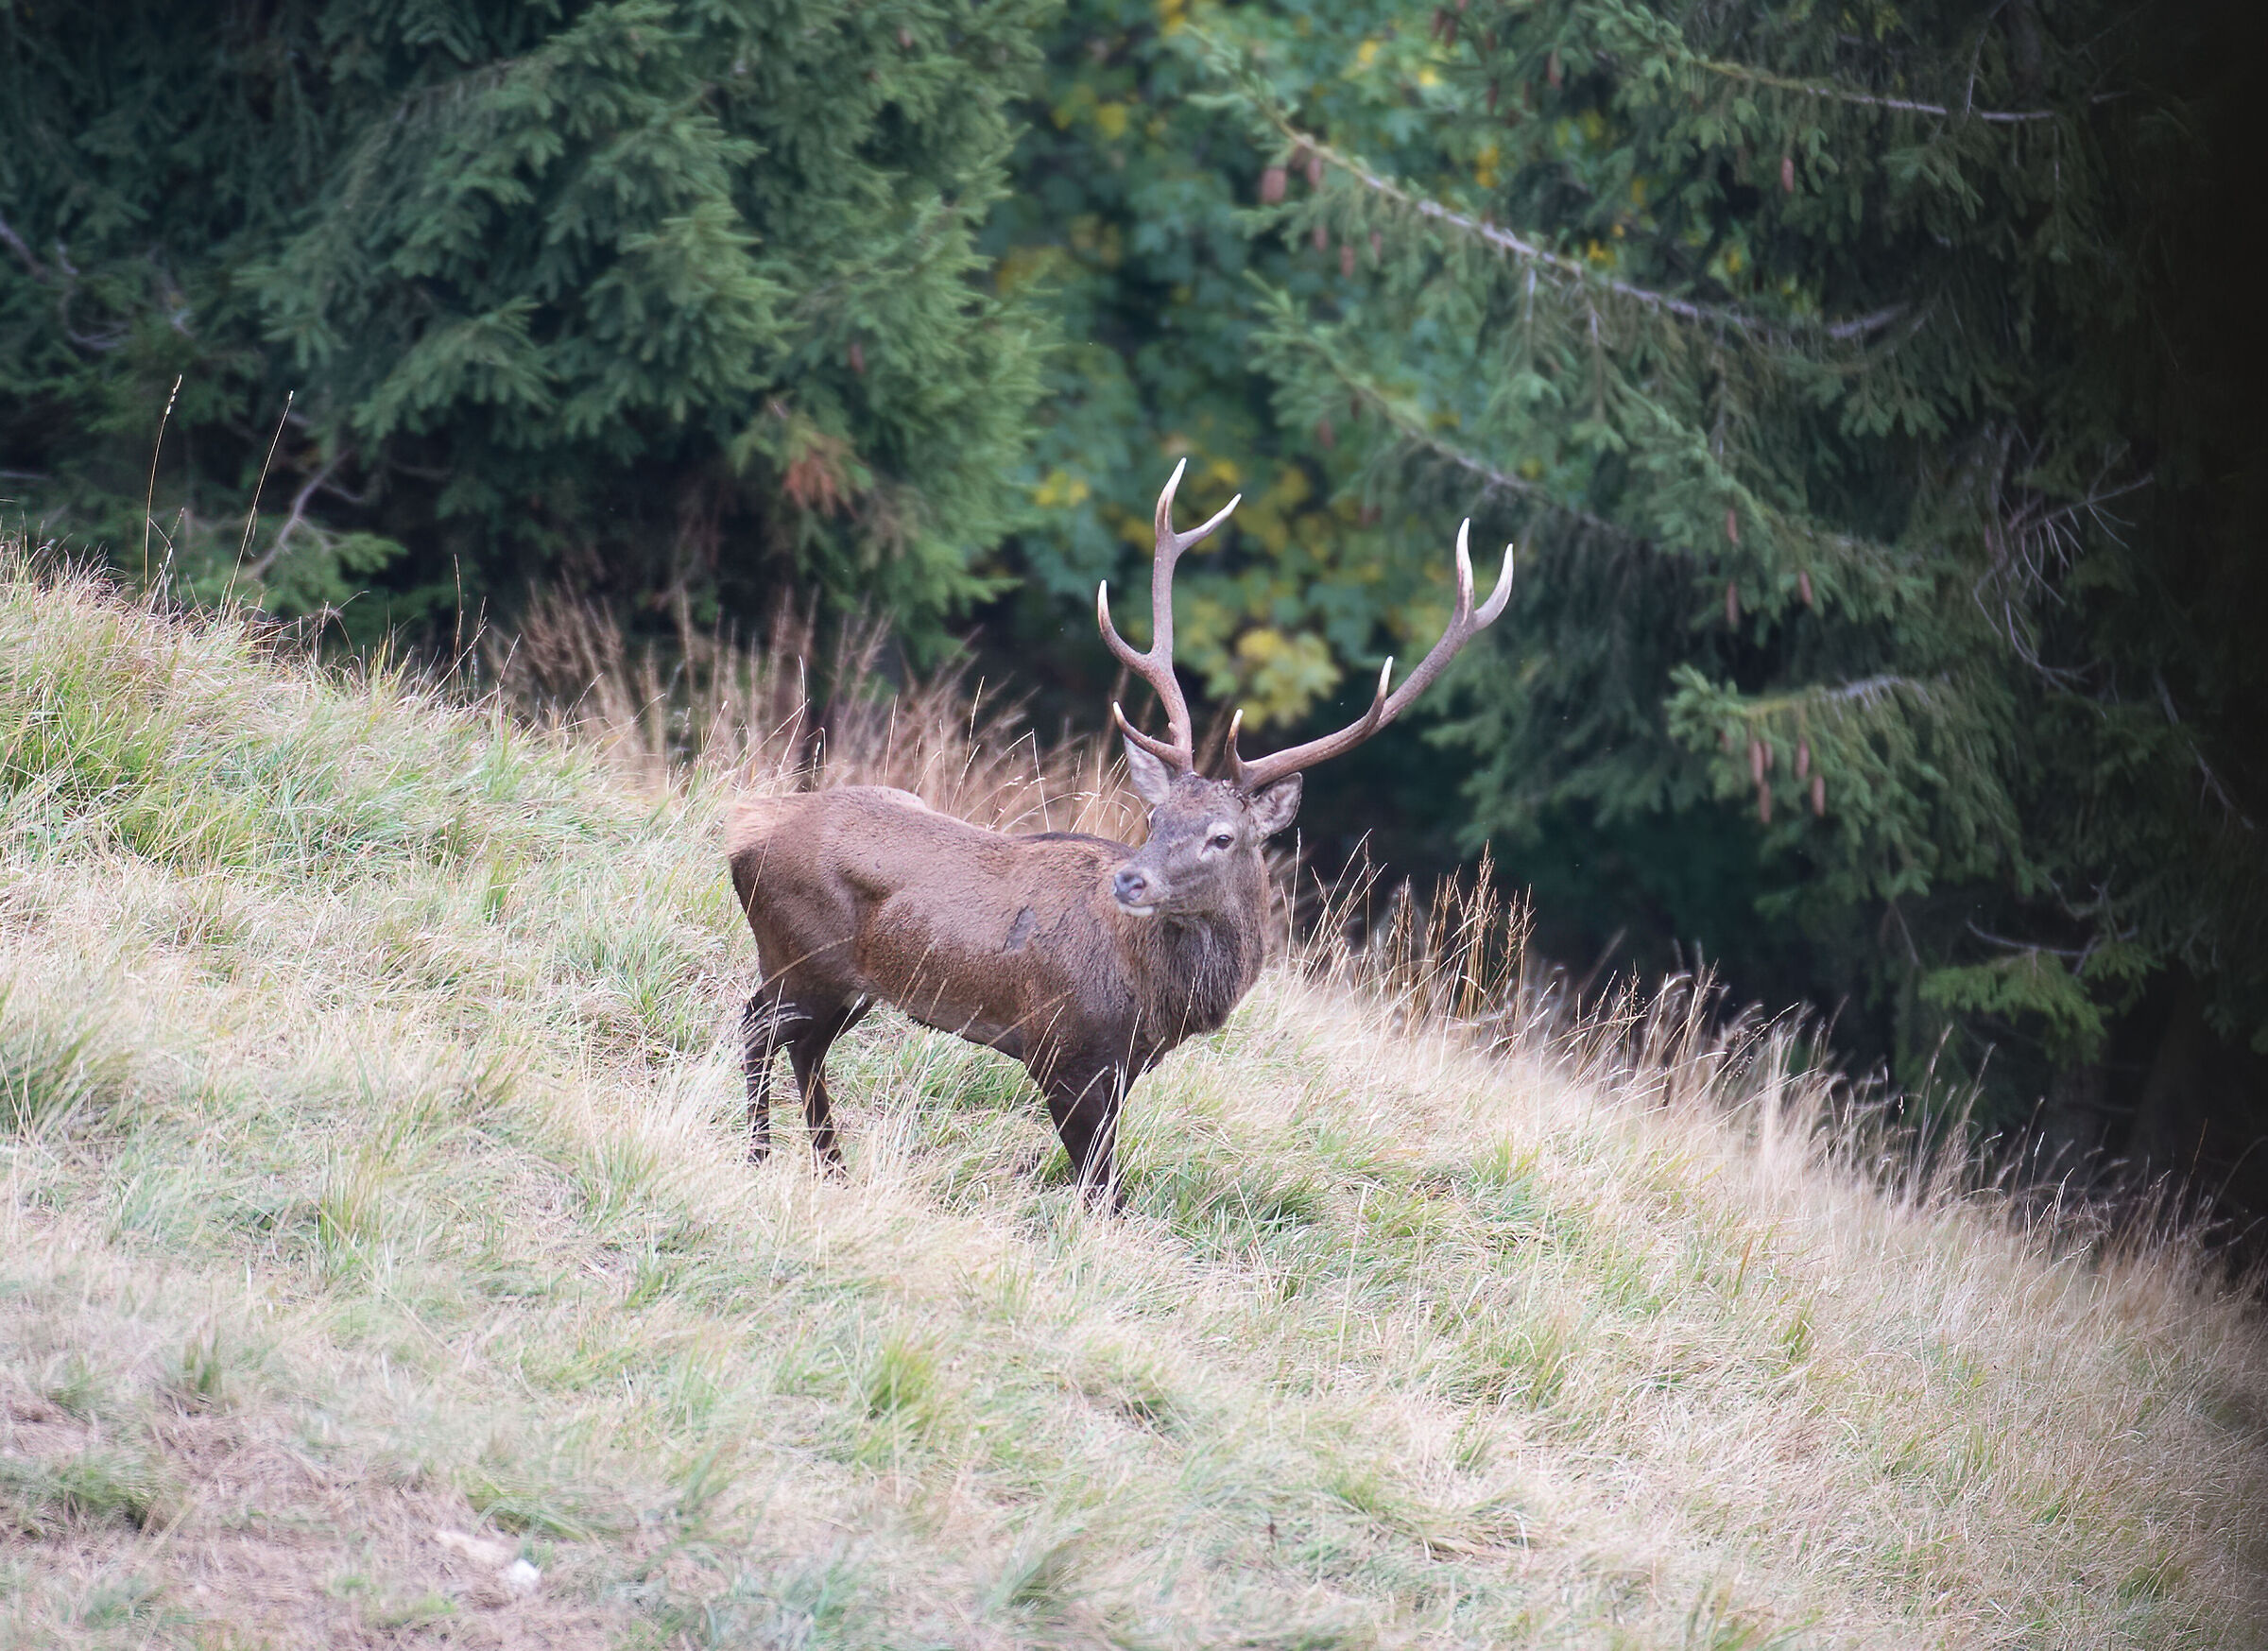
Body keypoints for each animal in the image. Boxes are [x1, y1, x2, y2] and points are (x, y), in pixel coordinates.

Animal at [725, 460, 1514, 1208]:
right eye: (1156, 817)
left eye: (1222, 836)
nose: (1131, 879)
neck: (1159, 999)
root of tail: (742, 837)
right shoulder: (1063, 1050)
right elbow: (1102, 1191)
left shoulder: (1126, 1064)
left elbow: (1100, 1182)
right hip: (801, 952)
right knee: (758, 1024)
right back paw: (759, 1153)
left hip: (848, 982)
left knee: (805, 1049)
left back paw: (832, 1168)